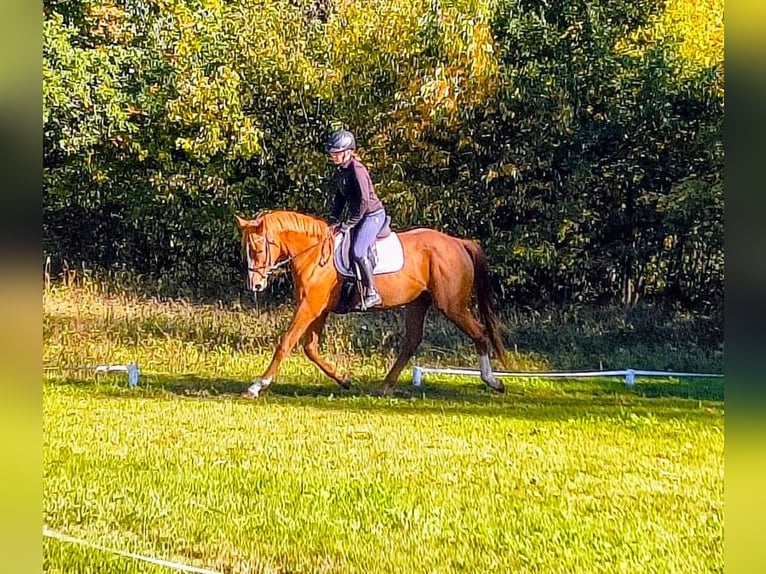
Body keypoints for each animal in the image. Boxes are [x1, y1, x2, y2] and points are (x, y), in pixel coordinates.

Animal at [234, 210, 507, 398]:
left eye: (258, 249)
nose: (255, 285)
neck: (314, 254)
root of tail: (458, 242)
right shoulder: (317, 309)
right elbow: (310, 348)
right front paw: (344, 379)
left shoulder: (310, 307)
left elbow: (286, 343)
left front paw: (257, 386)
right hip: (418, 303)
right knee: (411, 342)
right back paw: (385, 386)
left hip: (452, 305)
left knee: (479, 332)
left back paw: (493, 381)